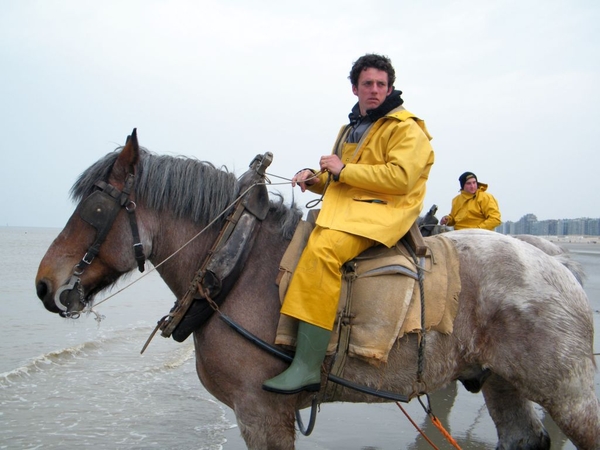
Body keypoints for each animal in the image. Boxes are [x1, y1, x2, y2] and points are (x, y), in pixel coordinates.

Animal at [37, 129, 600, 446]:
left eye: (94, 208)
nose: (44, 284)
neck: (236, 260)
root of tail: (555, 259)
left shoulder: (260, 410)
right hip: (501, 378)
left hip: (567, 387)